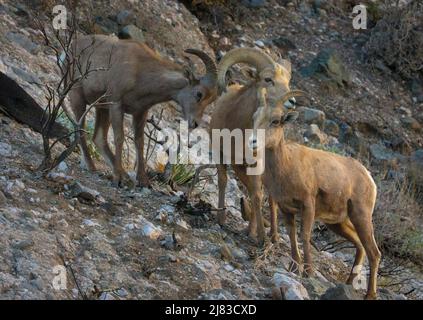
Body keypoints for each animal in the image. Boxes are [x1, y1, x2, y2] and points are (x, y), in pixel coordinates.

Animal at [68, 34, 219, 188]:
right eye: (199, 94)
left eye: (211, 99)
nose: (195, 123)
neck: (140, 69)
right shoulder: (116, 105)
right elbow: (119, 138)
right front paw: (117, 179)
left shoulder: (140, 113)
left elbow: (139, 142)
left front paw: (143, 181)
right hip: (78, 97)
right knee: (80, 129)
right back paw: (92, 166)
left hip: (101, 108)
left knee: (98, 137)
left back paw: (124, 175)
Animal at [209, 47, 302, 244]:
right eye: (268, 79)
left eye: (288, 81)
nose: (291, 102)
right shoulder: (221, 155)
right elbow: (224, 182)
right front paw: (221, 219)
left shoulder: (255, 164)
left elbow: (258, 195)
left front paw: (256, 235)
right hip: (240, 168)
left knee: (269, 197)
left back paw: (273, 234)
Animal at [250, 88, 382, 300]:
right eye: (255, 118)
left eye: (275, 121)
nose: (252, 141)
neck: (286, 165)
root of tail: (368, 177)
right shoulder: (286, 209)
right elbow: (292, 235)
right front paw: (294, 268)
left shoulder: (308, 205)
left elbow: (304, 235)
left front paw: (309, 271)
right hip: (338, 223)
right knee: (360, 247)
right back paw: (349, 284)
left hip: (361, 217)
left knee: (374, 253)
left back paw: (370, 294)